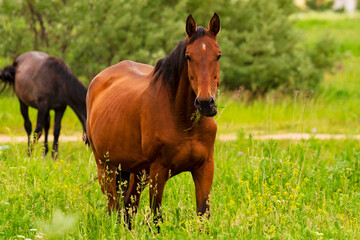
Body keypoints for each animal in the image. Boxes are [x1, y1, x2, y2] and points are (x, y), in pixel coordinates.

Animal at [86, 13, 222, 231]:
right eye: (188, 56)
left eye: (218, 55)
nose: (205, 103)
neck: (184, 122)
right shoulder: (158, 171)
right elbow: (156, 216)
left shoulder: (205, 168)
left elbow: (202, 215)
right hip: (106, 168)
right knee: (113, 207)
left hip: (136, 172)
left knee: (128, 207)